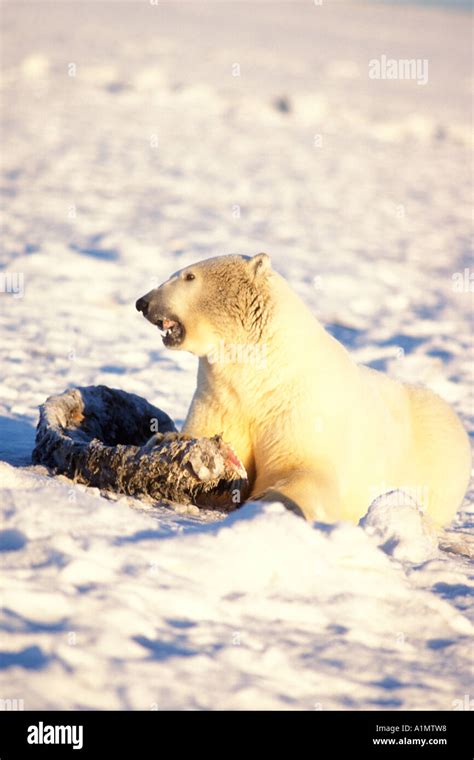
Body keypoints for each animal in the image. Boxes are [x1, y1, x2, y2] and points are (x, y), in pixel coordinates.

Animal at [135, 252, 472, 524]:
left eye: (189, 276)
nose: (143, 302)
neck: (264, 373)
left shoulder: (300, 406)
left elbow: (303, 469)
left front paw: (271, 499)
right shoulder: (222, 397)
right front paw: (166, 443)